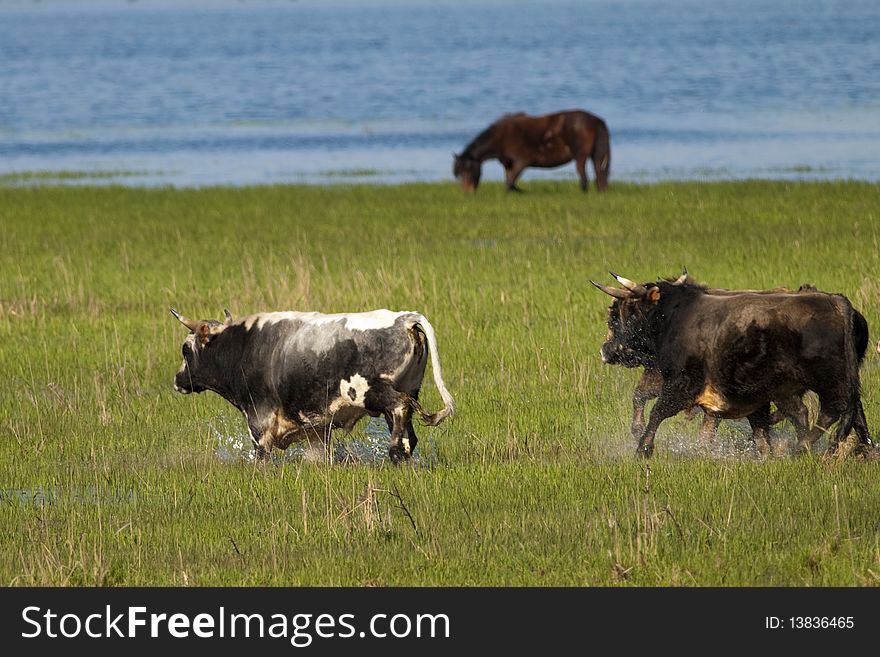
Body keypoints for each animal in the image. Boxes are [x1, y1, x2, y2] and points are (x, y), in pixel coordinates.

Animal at [174, 308, 460, 462]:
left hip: (372, 393)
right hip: (409, 390)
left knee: (399, 412)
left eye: (186, 349)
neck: (244, 346)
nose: (177, 380)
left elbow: (262, 455)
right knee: (409, 433)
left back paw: (395, 453)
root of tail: (404, 318)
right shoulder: (317, 430)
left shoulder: (259, 420)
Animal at [454, 109, 612, 192]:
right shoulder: (508, 165)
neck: (501, 137)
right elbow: (508, 183)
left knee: (584, 175)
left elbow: (510, 183)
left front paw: (522, 192)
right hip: (595, 155)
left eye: (468, 170)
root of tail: (596, 120)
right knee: (598, 172)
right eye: (459, 173)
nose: (467, 192)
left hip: (581, 155)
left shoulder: (521, 162)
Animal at [592, 272, 872, 456]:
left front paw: (644, 447)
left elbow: (657, 411)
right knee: (845, 411)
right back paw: (863, 448)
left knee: (831, 410)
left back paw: (803, 447)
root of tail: (838, 302)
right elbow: (750, 429)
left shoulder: (680, 383)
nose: (605, 350)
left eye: (618, 314)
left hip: (826, 381)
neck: (674, 316)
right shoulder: (751, 396)